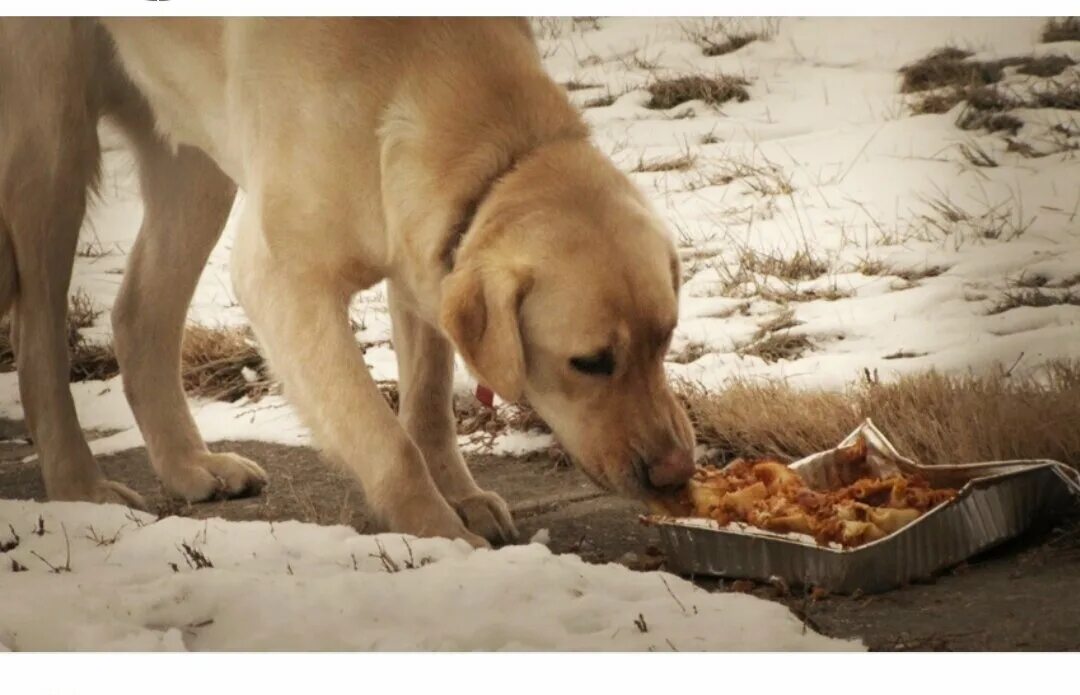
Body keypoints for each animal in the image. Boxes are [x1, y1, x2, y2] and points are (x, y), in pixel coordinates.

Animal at [0, 19, 691, 546]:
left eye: (665, 340)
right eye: (590, 362)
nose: (676, 472)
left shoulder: (422, 252)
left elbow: (428, 405)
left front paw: (461, 497)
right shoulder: (283, 280)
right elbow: (387, 442)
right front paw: (442, 535)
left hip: (192, 160)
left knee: (137, 314)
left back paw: (190, 465)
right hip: (50, 140)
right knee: (39, 343)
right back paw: (81, 488)